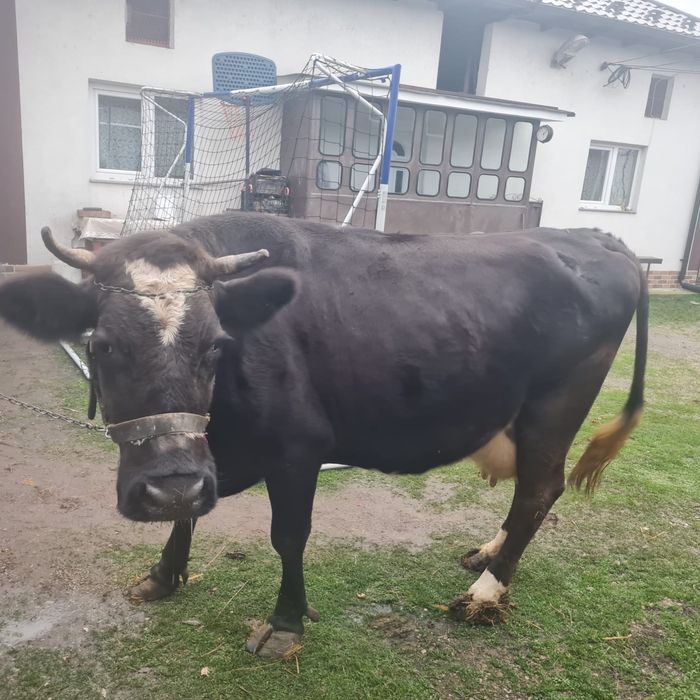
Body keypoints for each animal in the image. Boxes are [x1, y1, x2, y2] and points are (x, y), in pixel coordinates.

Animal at [0, 213, 647, 658]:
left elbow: (288, 537)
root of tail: (596, 237)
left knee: (540, 489)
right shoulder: (201, 457)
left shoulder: (296, 450)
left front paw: (285, 624)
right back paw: (488, 552)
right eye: (103, 345)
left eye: (216, 345)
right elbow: (189, 512)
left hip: (556, 406)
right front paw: (163, 575)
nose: (164, 488)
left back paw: (487, 592)